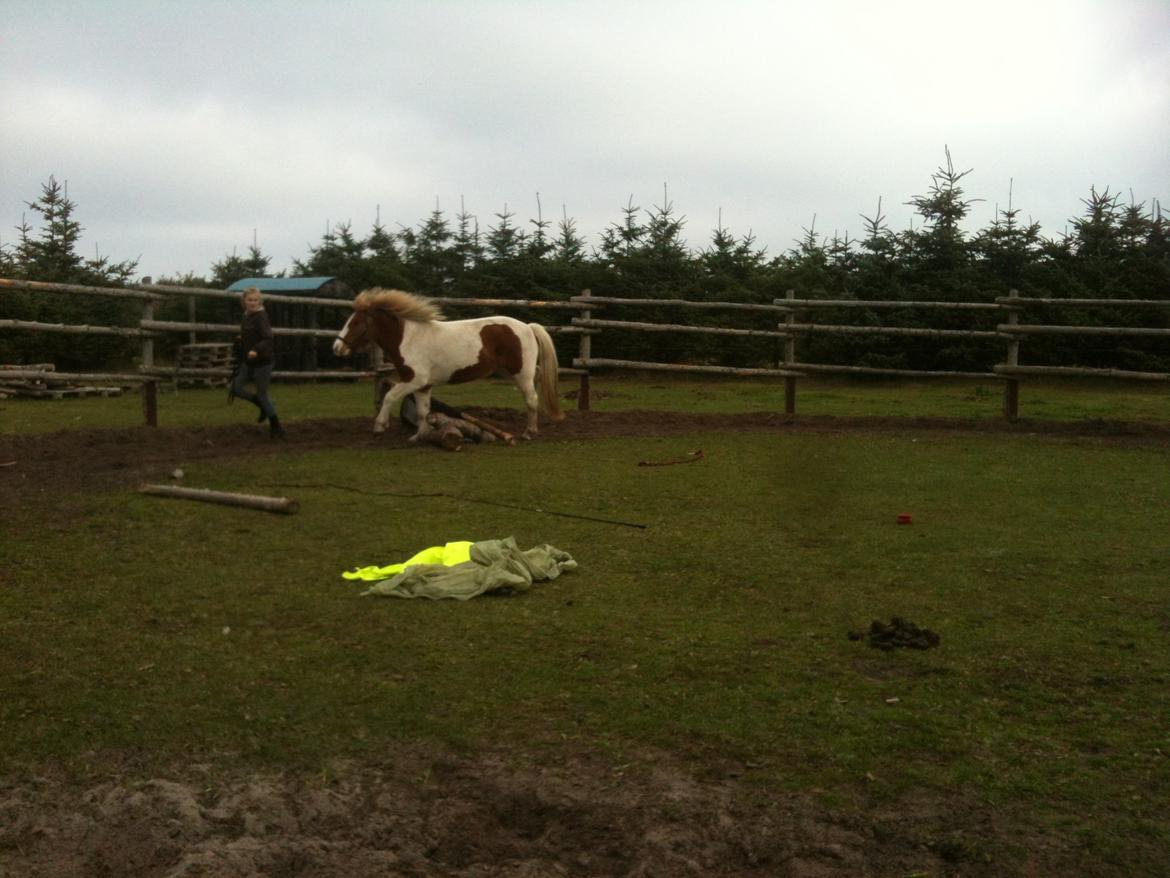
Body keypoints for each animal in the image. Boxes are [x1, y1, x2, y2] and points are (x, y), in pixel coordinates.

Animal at [332, 289, 563, 440]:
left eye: (355, 323)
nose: (337, 348)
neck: (408, 338)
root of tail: (528, 327)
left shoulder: (413, 380)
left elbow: (389, 396)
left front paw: (379, 427)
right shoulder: (423, 386)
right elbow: (423, 412)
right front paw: (421, 436)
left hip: (521, 373)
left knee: (532, 399)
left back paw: (529, 433)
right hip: (509, 372)